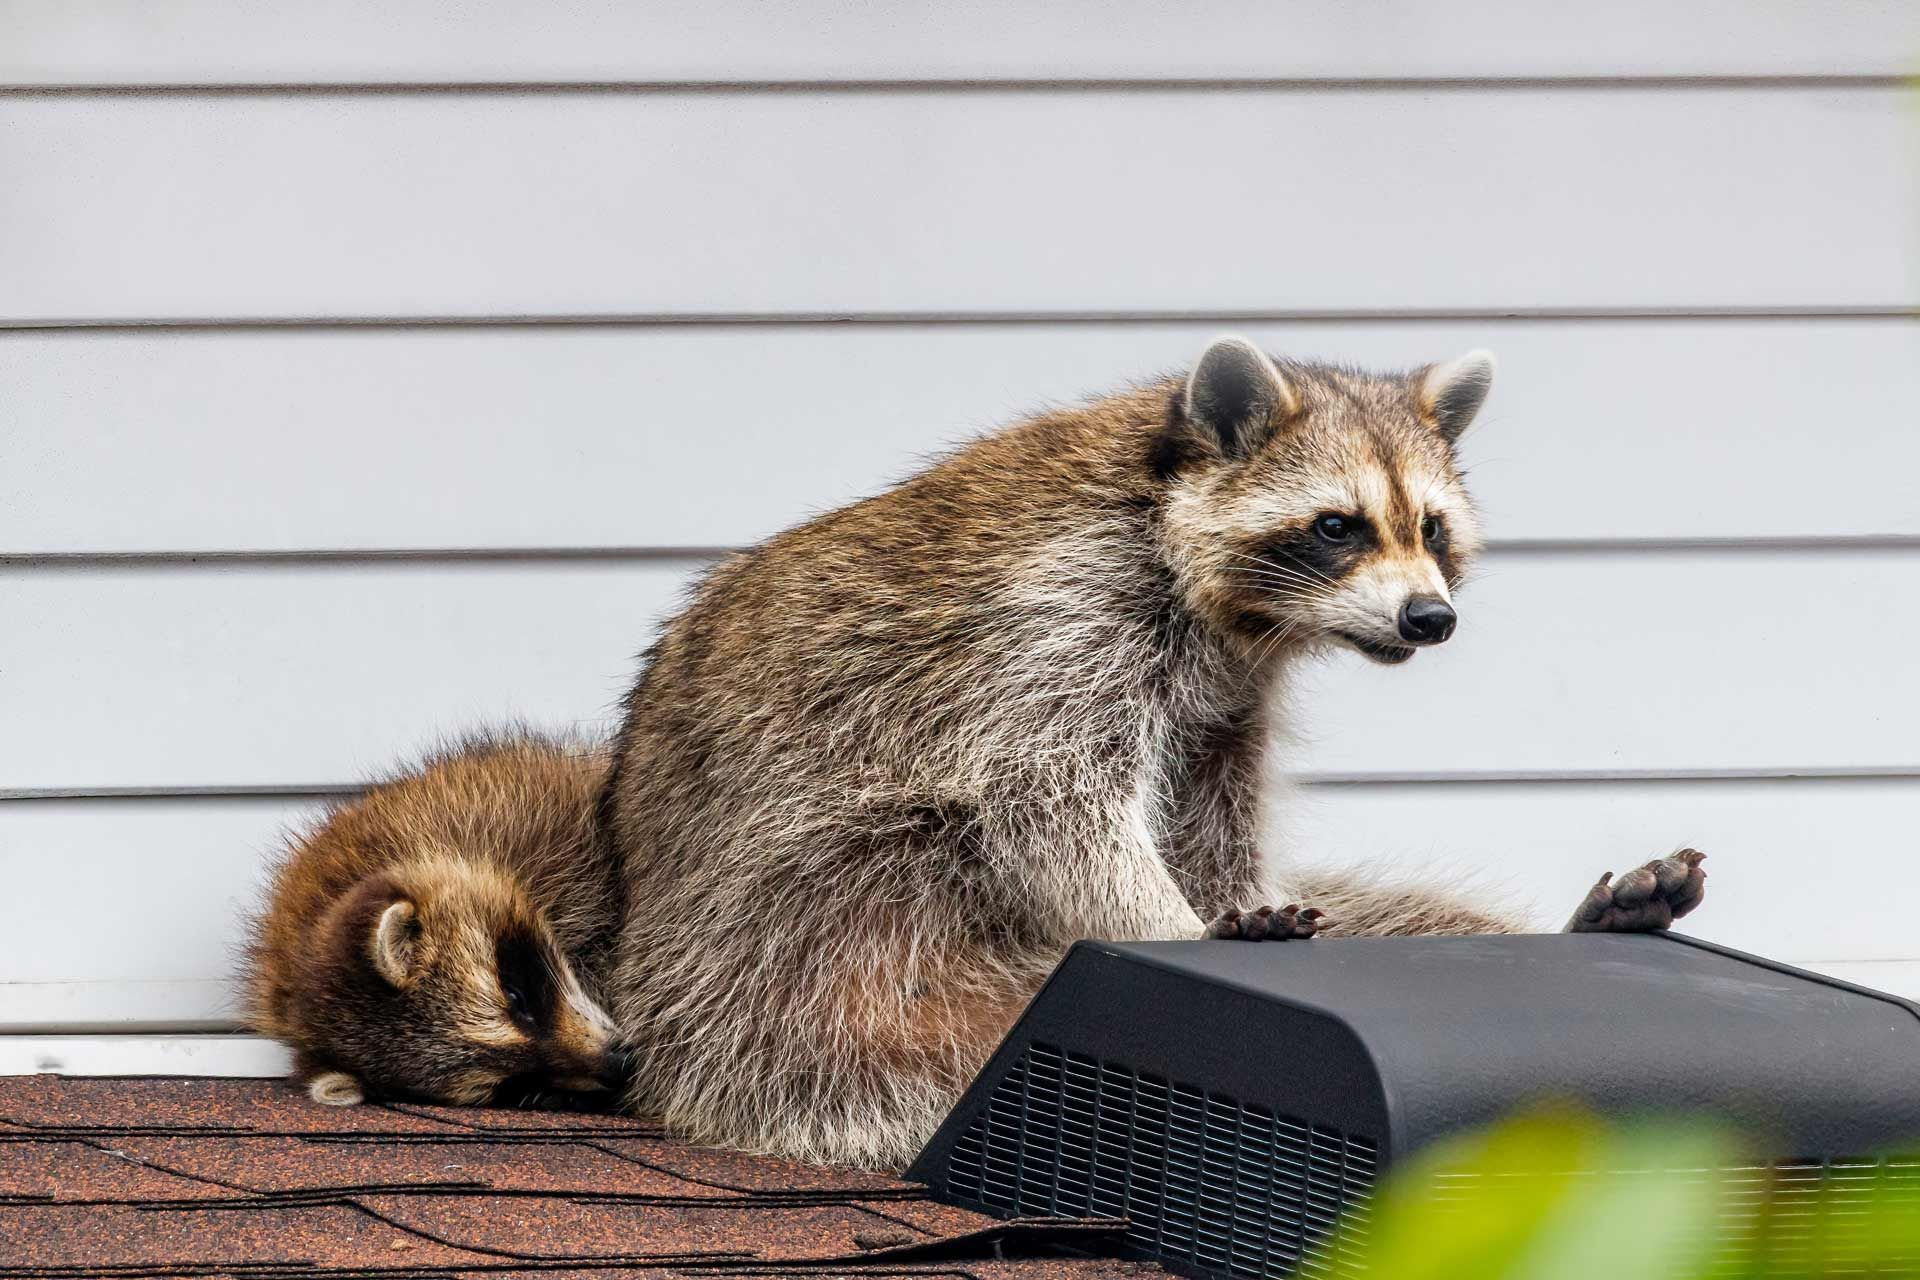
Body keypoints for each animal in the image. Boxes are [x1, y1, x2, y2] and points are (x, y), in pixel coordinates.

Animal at [603, 337, 1705, 1167]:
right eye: (1338, 526)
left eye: (1431, 528)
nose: (1430, 618)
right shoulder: (1056, 620)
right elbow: (1046, 795)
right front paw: (1175, 927)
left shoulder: (1229, 699)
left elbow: (1212, 823)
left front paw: (1228, 903)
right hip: (808, 989)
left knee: (1419, 919)